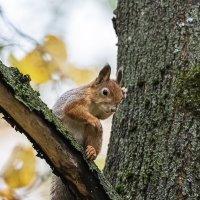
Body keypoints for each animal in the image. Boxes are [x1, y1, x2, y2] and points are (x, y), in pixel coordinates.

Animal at [50, 63, 126, 198]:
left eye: (121, 98)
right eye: (105, 92)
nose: (113, 109)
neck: (94, 104)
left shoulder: (102, 113)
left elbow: (103, 117)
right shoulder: (76, 99)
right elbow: (71, 109)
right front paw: (95, 120)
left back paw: (92, 151)